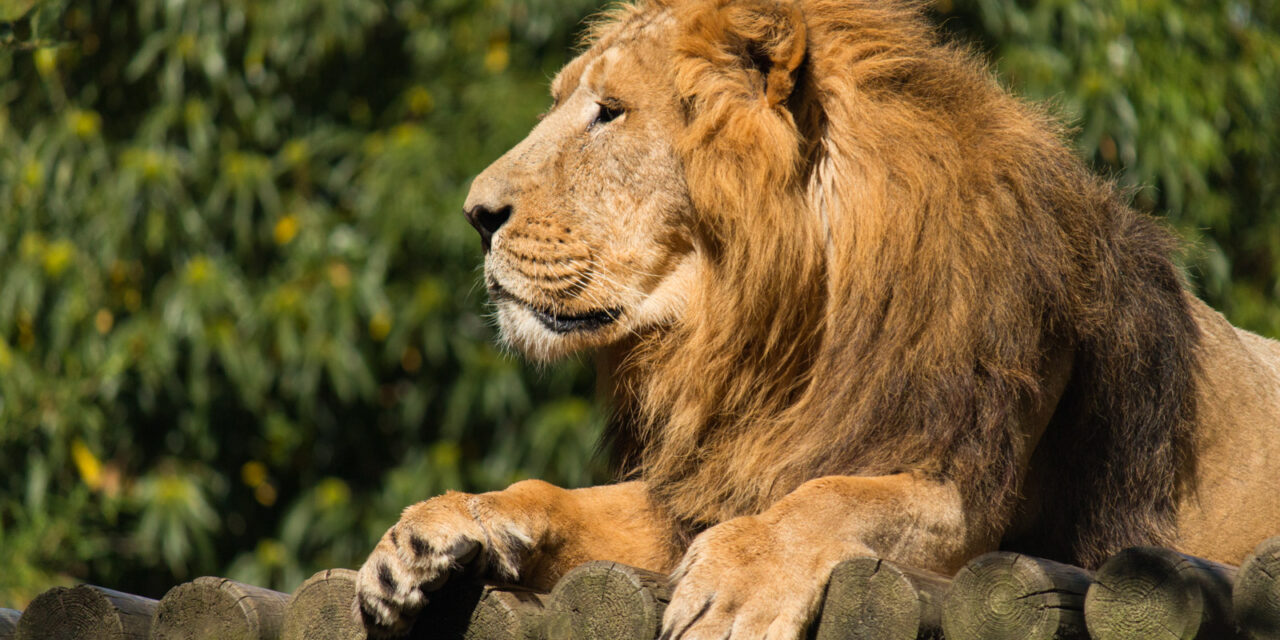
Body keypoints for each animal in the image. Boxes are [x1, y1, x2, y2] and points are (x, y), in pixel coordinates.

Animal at [350, 1, 1280, 634]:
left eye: (609, 112)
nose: (476, 214)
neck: (773, 336)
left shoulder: (967, 494)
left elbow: (830, 495)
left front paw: (734, 586)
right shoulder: (707, 481)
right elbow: (563, 498)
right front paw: (434, 531)